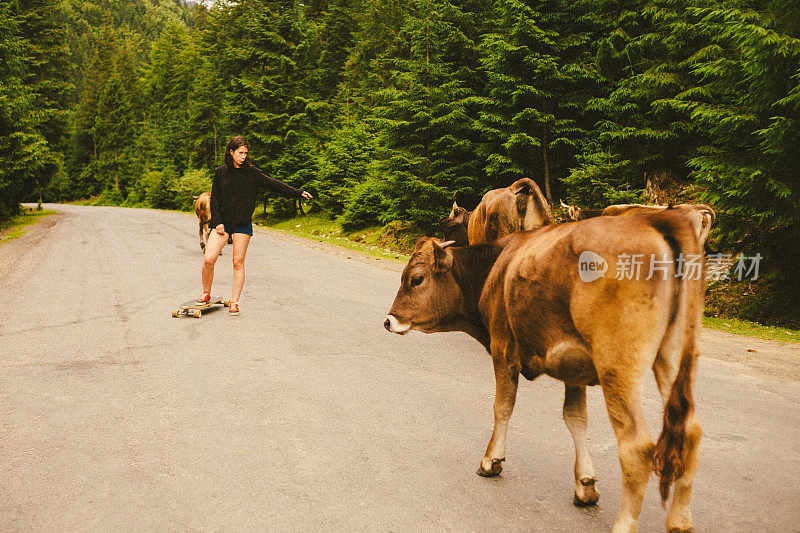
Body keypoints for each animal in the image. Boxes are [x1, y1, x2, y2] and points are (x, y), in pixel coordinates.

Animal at [384, 205, 708, 532]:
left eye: (416, 279)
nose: (389, 320)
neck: (496, 267)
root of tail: (656, 220)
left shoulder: (503, 346)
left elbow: (502, 406)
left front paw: (491, 461)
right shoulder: (575, 368)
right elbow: (575, 418)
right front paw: (585, 484)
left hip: (618, 367)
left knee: (637, 447)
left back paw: (625, 523)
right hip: (674, 358)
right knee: (691, 431)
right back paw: (680, 520)